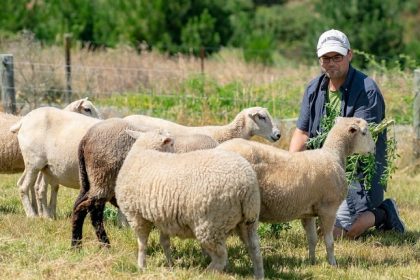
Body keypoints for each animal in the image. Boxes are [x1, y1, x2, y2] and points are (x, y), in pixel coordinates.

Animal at [113, 130, 264, 278]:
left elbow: (142, 243)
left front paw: (141, 266)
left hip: (210, 224)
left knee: (221, 257)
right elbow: (164, 242)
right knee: (254, 249)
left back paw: (204, 273)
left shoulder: (136, 215)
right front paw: (170, 264)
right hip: (249, 219)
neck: (144, 151)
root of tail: (246, 185)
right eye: (171, 144)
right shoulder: (163, 216)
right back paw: (258, 274)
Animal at [217, 117, 374, 266]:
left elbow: (312, 239)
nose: (373, 148)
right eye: (364, 132)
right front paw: (333, 264)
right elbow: (329, 241)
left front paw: (312, 261)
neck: (333, 155)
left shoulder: (309, 212)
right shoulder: (328, 209)